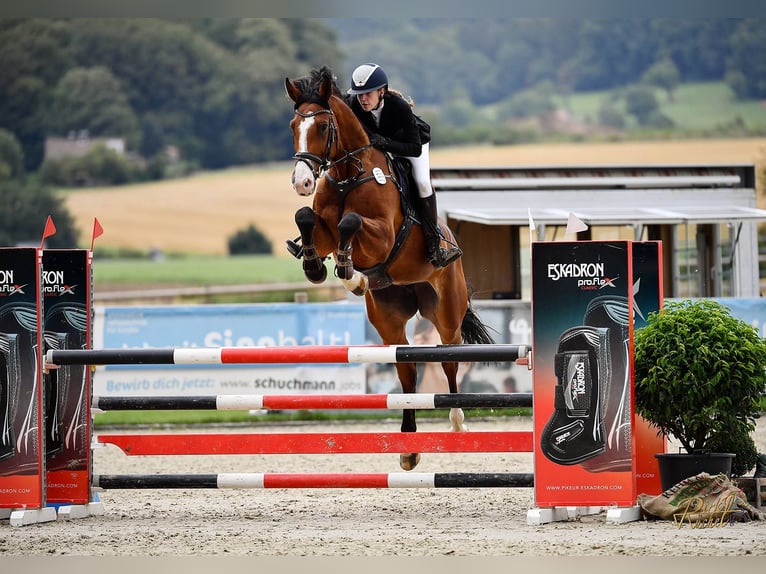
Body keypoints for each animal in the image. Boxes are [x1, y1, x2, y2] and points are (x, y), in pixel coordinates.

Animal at [284, 68, 496, 472]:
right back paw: (408, 449)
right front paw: (317, 266)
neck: (348, 173)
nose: (302, 182)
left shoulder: (381, 234)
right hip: (389, 316)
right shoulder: (323, 230)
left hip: (446, 310)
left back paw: (457, 422)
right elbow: (307, 218)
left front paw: (350, 273)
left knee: (449, 357)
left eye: (323, 125)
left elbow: (350, 222)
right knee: (407, 368)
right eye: (293, 125)